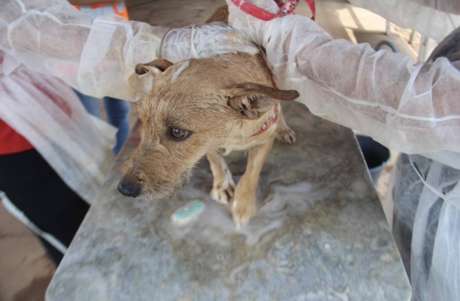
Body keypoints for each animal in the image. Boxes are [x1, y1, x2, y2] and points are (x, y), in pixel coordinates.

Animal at [118, 10, 298, 226]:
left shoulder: (264, 140)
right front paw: (222, 185)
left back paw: (284, 128)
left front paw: (243, 205)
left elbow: (251, 173)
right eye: (143, 120)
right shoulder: (208, 143)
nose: (124, 189)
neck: (232, 132)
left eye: (177, 132)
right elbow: (214, 159)